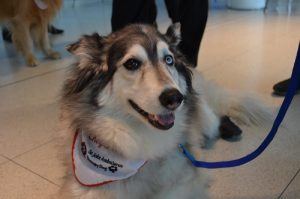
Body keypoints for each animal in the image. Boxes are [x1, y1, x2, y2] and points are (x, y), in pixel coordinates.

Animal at [57, 23, 270, 199]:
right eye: (131, 63)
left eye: (168, 59)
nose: (175, 98)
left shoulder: (186, 179)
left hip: (206, 118)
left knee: (217, 118)